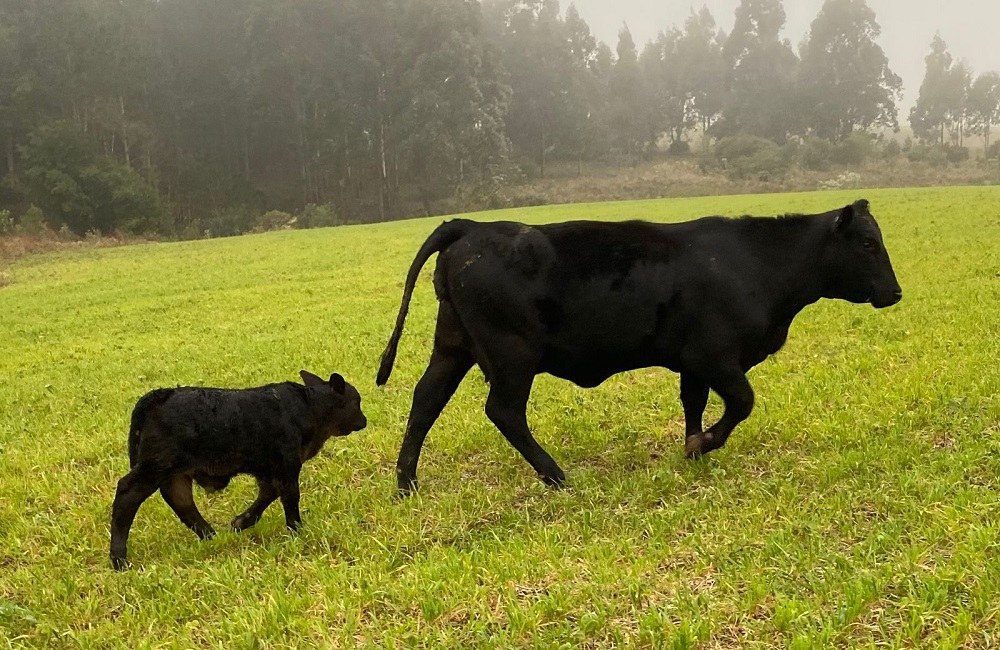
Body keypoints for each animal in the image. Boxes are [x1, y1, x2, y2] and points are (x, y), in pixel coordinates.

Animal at [110, 370, 368, 568]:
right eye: (356, 402)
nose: (364, 420)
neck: (309, 409)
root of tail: (159, 395)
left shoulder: (268, 469)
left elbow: (269, 494)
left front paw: (241, 522)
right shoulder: (286, 464)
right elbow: (290, 498)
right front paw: (296, 530)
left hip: (175, 472)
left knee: (180, 501)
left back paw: (211, 536)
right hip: (156, 465)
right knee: (127, 494)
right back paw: (119, 559)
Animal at [376, 200, 908, 494]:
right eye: (866, 243)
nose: (895, 292)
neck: (756, 262)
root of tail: (472, 226)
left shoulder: (692, 362)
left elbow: (693, 402)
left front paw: (692, 448)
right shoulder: (715, 357)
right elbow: (742, 402)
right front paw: (705, 442)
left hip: (453, 346)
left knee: (425, 400)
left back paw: (407, 484)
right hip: (512, 356)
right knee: (504, 412)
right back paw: (556, 477)